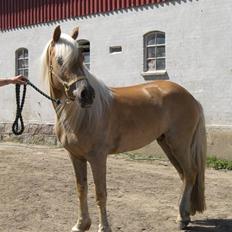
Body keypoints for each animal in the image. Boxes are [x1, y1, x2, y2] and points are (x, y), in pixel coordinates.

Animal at [41, 24, 207, 231]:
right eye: (60, 60)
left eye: (81, 58)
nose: (86, 95)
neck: (78, 116)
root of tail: (191, 98)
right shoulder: (76, 157)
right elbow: (81, 189)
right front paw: (81, 224)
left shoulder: (97, 157)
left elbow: (100, 193)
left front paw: (104, 227)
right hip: (166, 144)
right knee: (184, 175)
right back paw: (184, 215)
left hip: (179, 144)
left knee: (191, 173)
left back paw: (182, 219)